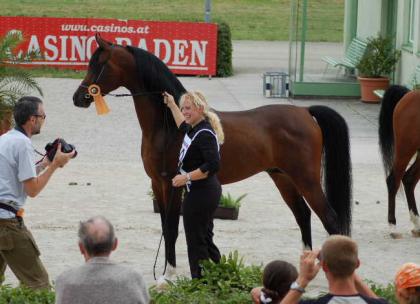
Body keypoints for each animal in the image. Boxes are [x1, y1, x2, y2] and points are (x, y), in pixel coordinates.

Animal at [71, 35, 352, 274]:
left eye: (100, 65)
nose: (79, 97)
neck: (170, 126)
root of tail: (305, 112)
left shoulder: (172, 183)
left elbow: (171, 229)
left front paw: (168, 275)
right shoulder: (157, 183)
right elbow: (164, 227)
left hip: (306, 179)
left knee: (330, 219)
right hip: (282, 177)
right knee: (303, 214)